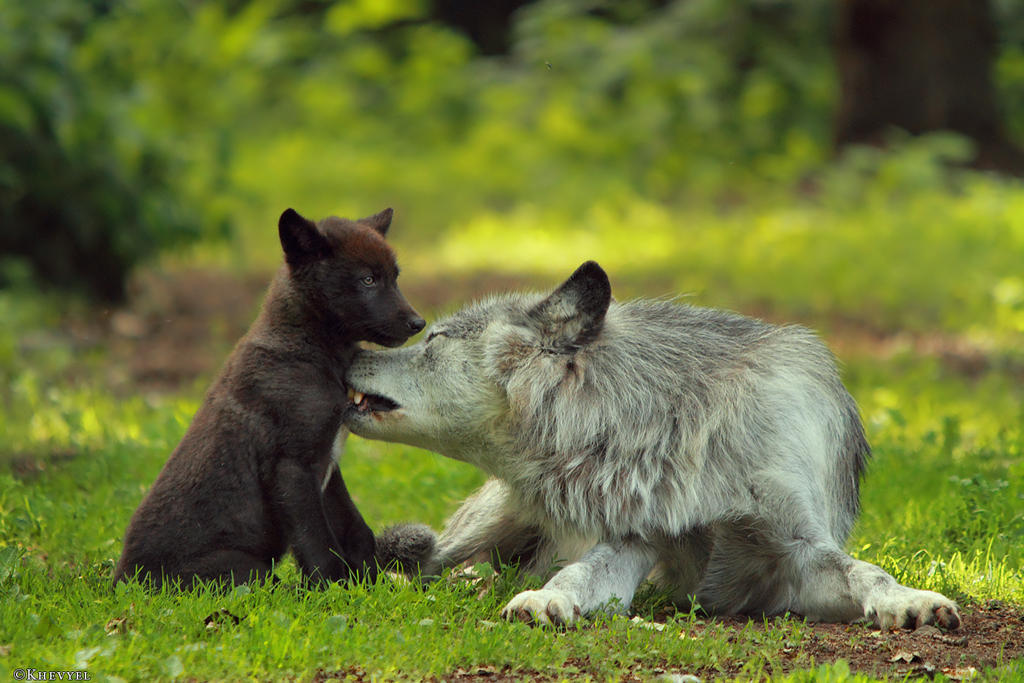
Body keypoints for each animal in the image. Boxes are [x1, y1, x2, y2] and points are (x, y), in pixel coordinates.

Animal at [114, 206, 430, 589]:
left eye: (394, 278)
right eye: (367, 280)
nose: (419, 323)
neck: (311, 351)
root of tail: (121, 581)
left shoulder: (328, 467)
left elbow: (355, 530)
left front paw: (369, 585)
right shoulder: (292, 468)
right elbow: (318, 544)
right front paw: (330, 591)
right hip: (246, 571)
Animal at [348, 260, 962, 630]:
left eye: (433, 339)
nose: (347, 349)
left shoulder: (795, 556)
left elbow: (867, 571)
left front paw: (911, 600)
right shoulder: (632, 539)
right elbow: (578, 573)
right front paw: (545, 599)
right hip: (483, 523)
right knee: (427, 562)